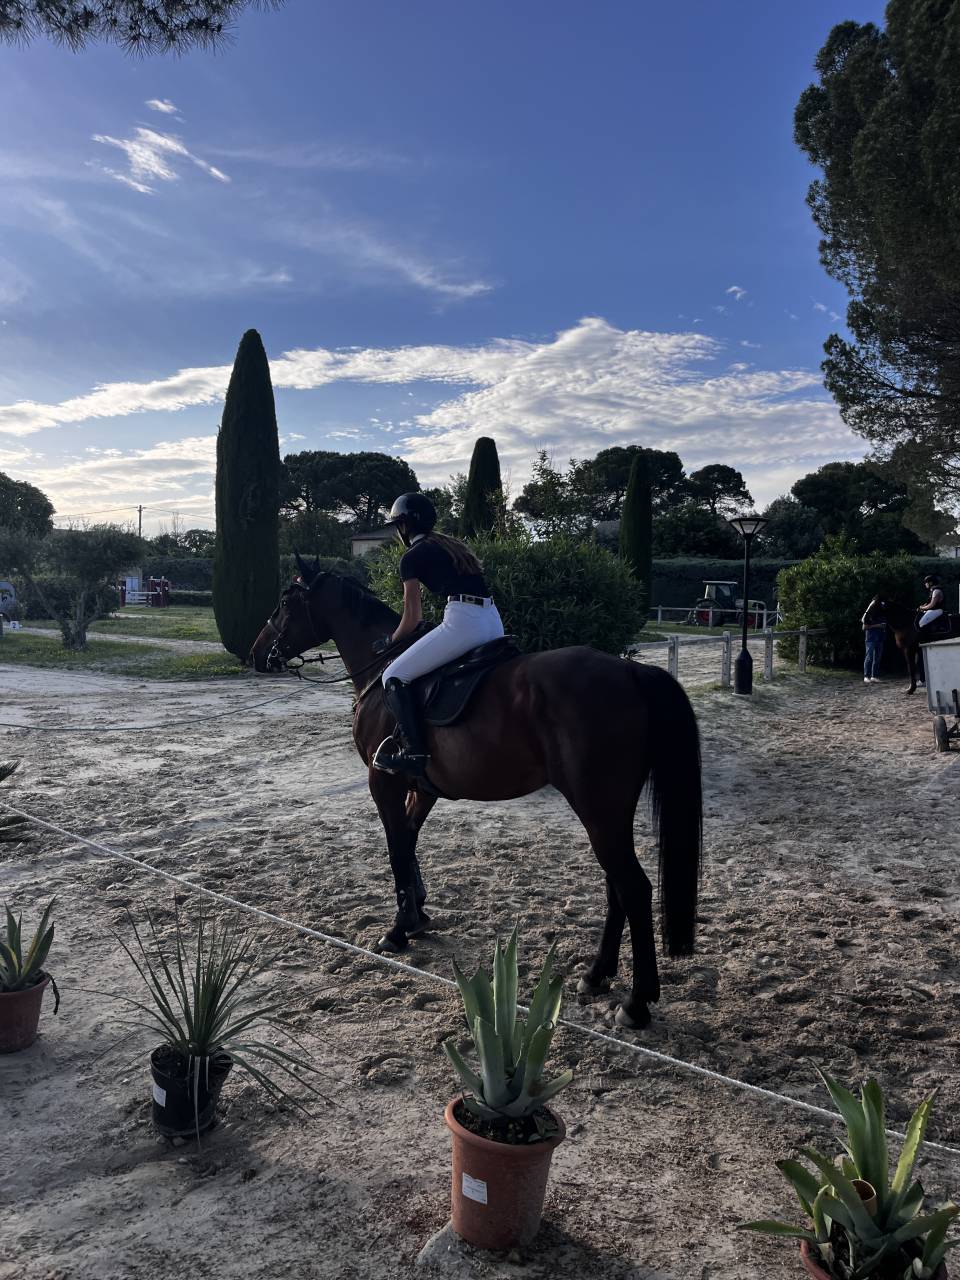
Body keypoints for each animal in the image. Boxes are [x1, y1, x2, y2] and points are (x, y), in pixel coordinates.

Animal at [250, 561, 703, 1030]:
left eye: (285, 602)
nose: (257, 653)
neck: (383, 671)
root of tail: (631, 672)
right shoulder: (421, 787)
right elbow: (409, 843)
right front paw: (417, 917)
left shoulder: (385, 783)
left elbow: (396, 850)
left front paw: (397, 931)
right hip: (609, 811)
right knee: (617, 885)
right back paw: (596, 975)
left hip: (597, 807)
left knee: (633, 887)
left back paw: (637, 1002)